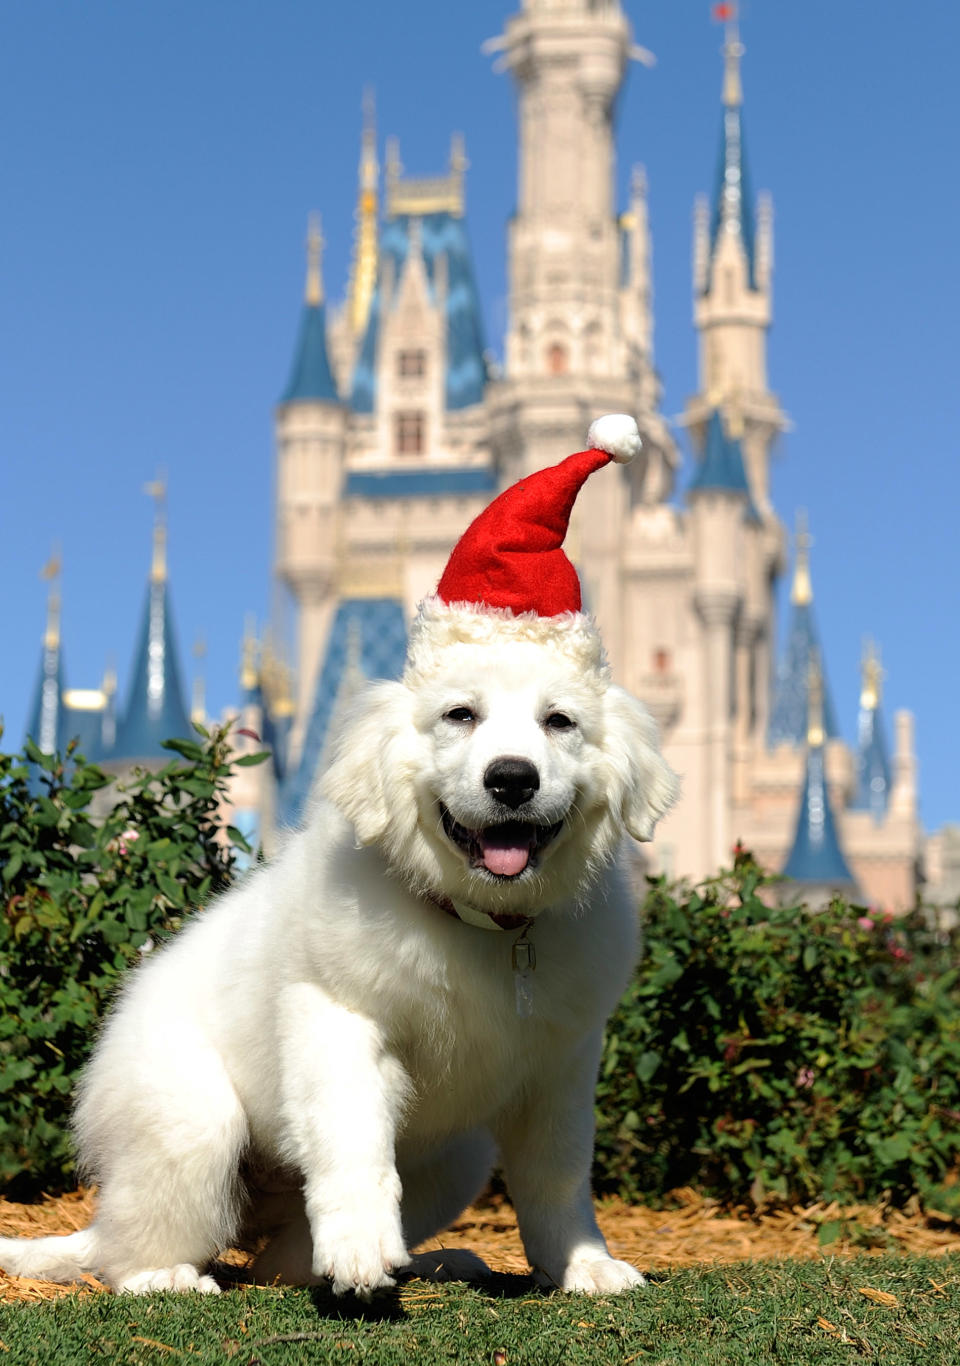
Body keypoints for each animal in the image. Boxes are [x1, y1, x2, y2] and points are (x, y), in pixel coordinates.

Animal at [0, 603, 680, 1294]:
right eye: (460, 715)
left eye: (559, 721)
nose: (512, 779)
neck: (483, 924)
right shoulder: (336, 1017)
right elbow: (354, 1139)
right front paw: (359, 1246)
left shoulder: (561, 1064)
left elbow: (558, 1177)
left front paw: (582, 1264)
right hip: (188, 1120)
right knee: (128, 1248)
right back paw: (165, 1276)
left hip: (456, 1159)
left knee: (279, 1263)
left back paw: (430, 1262)